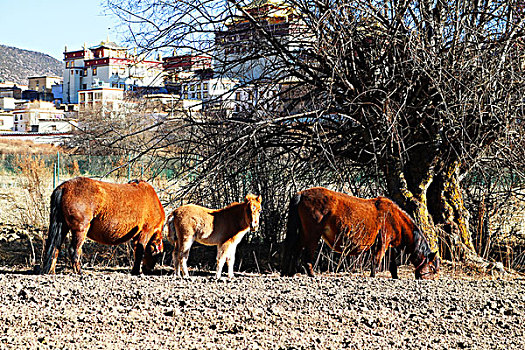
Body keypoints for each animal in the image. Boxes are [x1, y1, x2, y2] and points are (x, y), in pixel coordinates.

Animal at [280, 187, 440, 280]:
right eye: (432, 267)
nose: (431, 279)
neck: (393, 217)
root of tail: (301, 194)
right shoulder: (382, 242)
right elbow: (376, 261)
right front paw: (373, 276)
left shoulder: (387, 245)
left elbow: (391, 263)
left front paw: (394, 277)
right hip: (313, 234)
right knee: (306, 254)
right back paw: (311, 274)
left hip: (304, 233)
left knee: (294, 249)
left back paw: (289, 273)